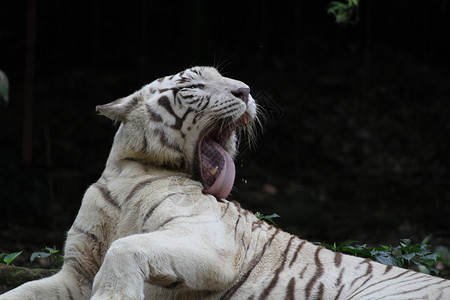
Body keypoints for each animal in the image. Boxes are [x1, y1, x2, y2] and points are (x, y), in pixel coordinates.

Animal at [1, 67, 448, 300]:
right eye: (193, 86)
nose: (246, 89)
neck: (132, 168)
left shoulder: (210, 242)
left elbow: (125, 248)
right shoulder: (76, 273)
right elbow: (23, 292)